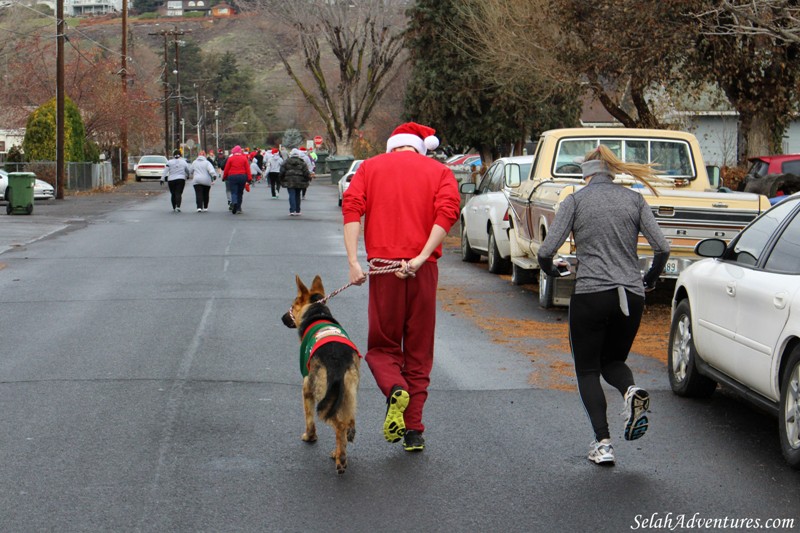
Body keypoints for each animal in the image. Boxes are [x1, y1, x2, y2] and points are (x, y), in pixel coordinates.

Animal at [280, 276, 358, 472]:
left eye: (293, 306)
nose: (282, 318)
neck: (316, 311)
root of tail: (336, 360)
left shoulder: (306, 386)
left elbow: (308, 417)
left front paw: (310, 437)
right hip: (348, 393)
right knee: (348, 421)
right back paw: (339, 451)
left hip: (324, 395)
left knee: (339, 426)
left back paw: (340, 459)